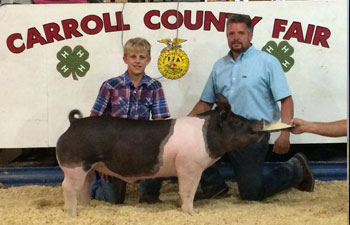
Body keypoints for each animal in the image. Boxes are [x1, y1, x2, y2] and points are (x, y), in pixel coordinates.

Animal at [56, 93, 266, 216]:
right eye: (237, 122)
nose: (259, 122)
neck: (206, 135)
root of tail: (73, 124)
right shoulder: (189, 166)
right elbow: (188, 191)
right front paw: (192, 214)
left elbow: (184, 191)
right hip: (75, 165)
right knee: (68, 187)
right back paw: (72, 214)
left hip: (88, 168)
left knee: (84, 187)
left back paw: (88, 208)